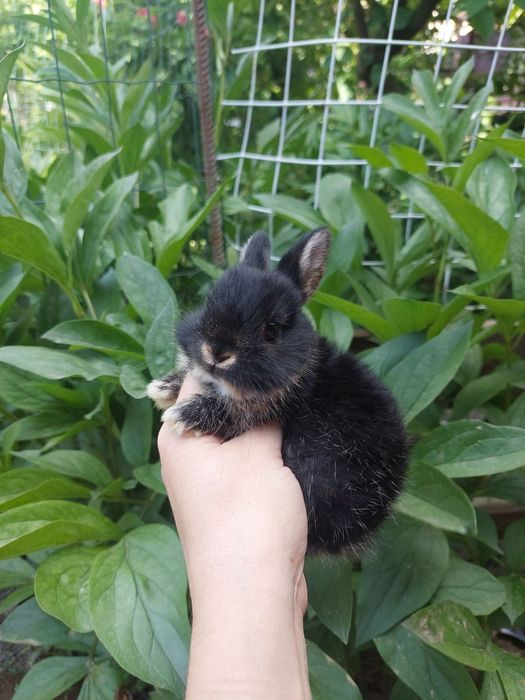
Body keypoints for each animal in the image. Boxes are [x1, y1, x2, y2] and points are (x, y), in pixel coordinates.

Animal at [148, 228, 408, 554]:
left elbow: (234, 410)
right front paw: (162, 388)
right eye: (208, 305)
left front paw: (183, 415)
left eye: (271, 330)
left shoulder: (267, 406)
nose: (217, 351)